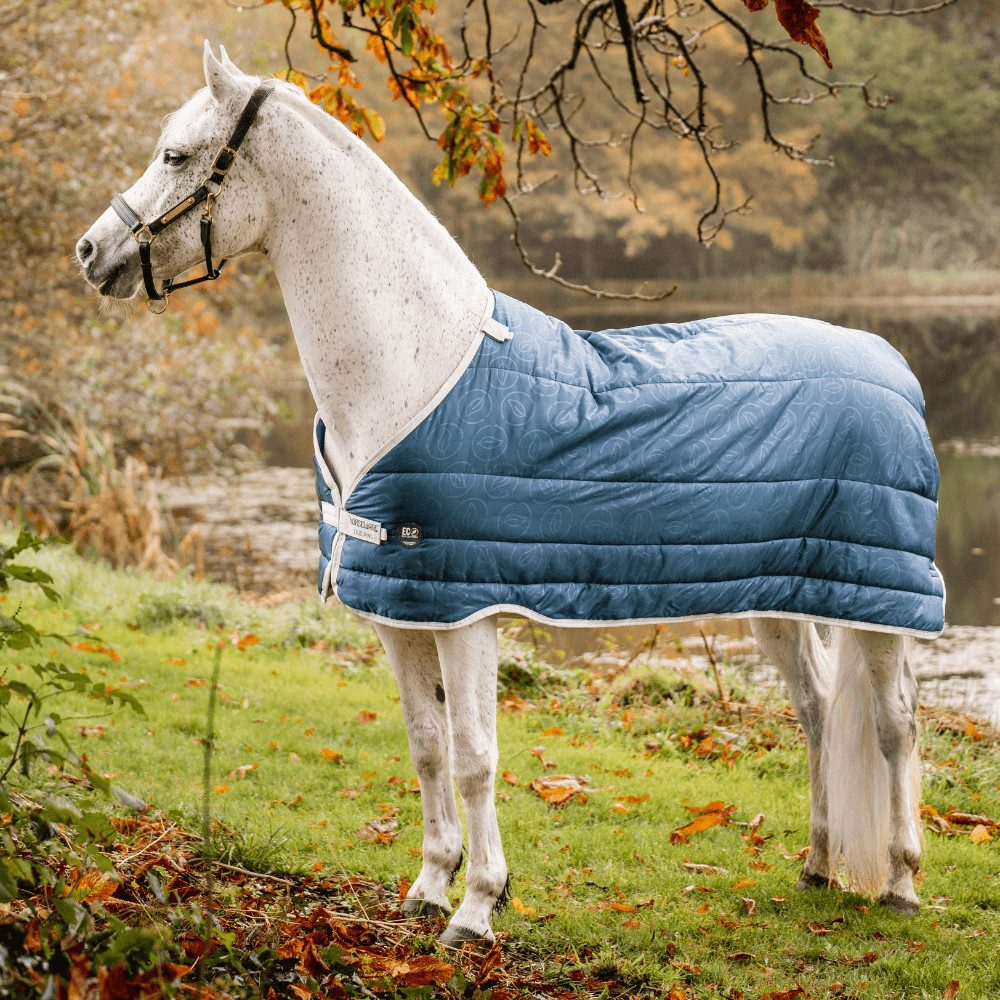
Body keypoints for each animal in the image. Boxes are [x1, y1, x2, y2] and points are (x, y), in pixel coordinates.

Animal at [77, 43, 939, 945]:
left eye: (178, 157)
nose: (90, 252)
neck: (413, 368)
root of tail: (891, 362)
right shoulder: (401, 611)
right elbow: (426, 745)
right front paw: (429, 886)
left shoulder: (467, 613)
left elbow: (473, 756)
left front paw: (477, 907)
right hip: (786, 593)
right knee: (817, 709)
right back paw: (817, 864)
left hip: (882, 606)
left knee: (896, 724)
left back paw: (901, 882)